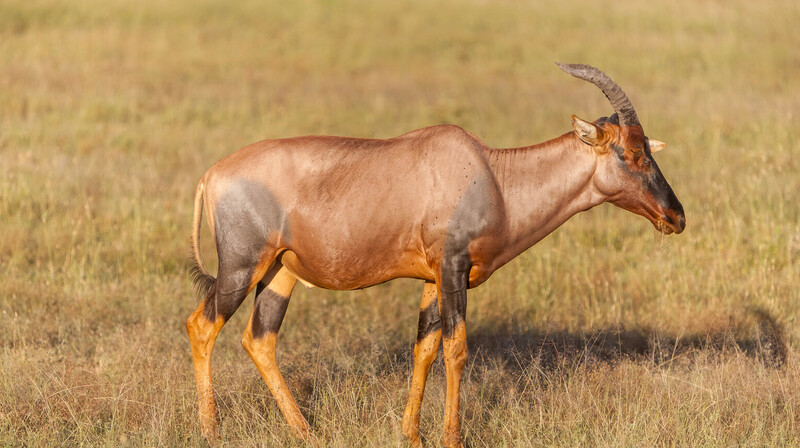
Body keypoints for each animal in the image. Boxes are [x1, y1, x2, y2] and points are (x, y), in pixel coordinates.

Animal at [186, 64, 680, 448]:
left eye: (646, 149)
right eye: (631, 153)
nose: (676, 216)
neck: (491, 174)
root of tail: (211, 175)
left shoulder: (432, 279)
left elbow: (424, 348)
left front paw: (412, 435)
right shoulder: (453, 269)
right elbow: (455, 349)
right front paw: (453, 438)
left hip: (280, 272)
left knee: (259, 339)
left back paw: (306, 432)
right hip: (241, 268)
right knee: (202, 325)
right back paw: (212, 431)